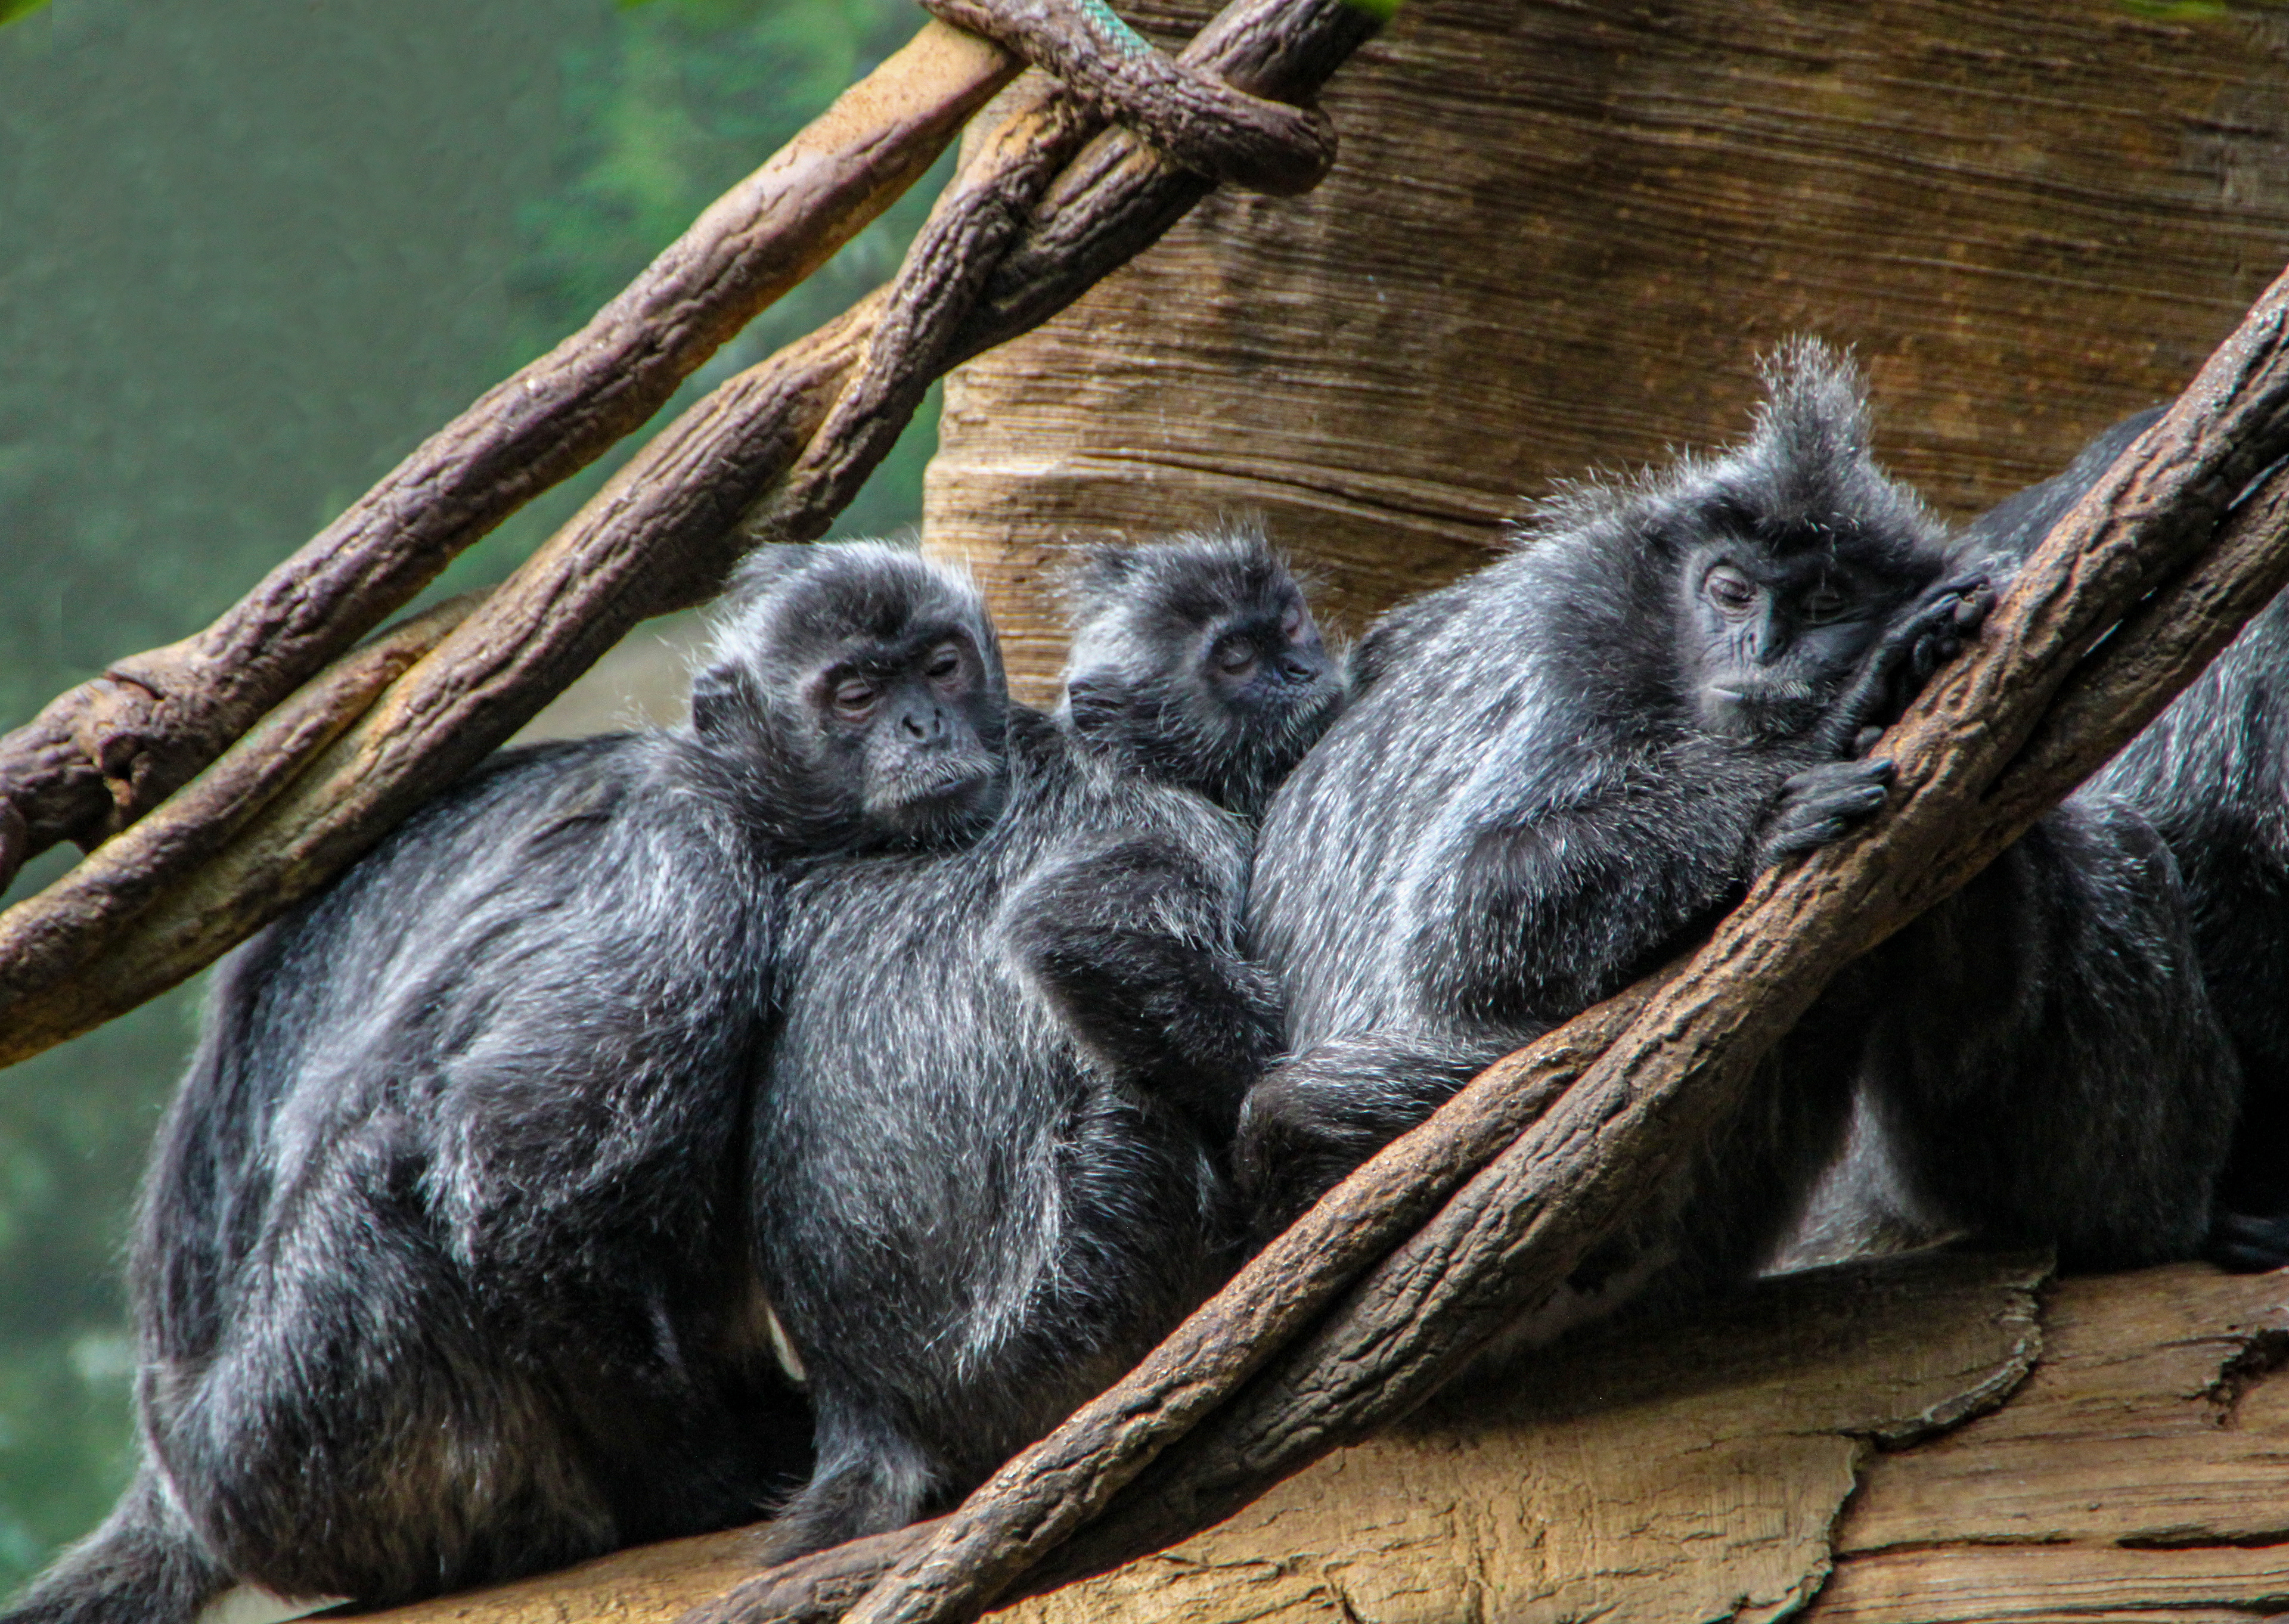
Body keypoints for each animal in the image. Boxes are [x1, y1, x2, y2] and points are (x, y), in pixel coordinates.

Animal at [4, 543, 1011, 1624]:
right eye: (857, 696)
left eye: (943, 668)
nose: (925, 727)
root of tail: (176, 1478)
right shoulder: (681, 873)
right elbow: (522, 1196)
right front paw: (706, 1475)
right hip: (288, 1446)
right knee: (395, 1164)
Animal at [742, 532, 1346, 1561]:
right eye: (1236, 660)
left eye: (1292, 626)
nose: (1306, 671)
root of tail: (864, 1401)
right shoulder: (1159, 814)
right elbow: (1077, 931)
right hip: (1062, 1314)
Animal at [1236, 342, 2245, 1345]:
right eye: (1730, 592)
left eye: (1827, 600)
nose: (1764, 651)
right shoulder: (1576, 640)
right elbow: (1471, 915)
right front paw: (1829, 738)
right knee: (1299, 1109)